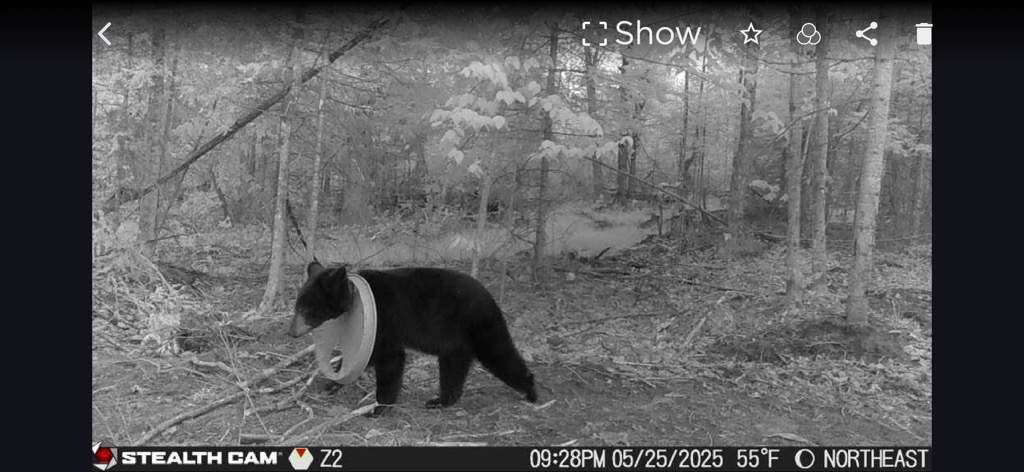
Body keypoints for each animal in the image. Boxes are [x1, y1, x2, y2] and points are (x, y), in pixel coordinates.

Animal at [289, 262, 538, 416]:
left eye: (305, 309)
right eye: (297, 306)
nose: (291, 331)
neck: (353, 296)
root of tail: (490, 297)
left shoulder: (385, 322)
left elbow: (390, 360)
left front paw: (378, 407)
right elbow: (362, 357)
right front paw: (332, 383)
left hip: (480, 327)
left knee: (500, 354)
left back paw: (531, 392)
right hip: (455, 342)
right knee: (453, 368)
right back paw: (440, 401)